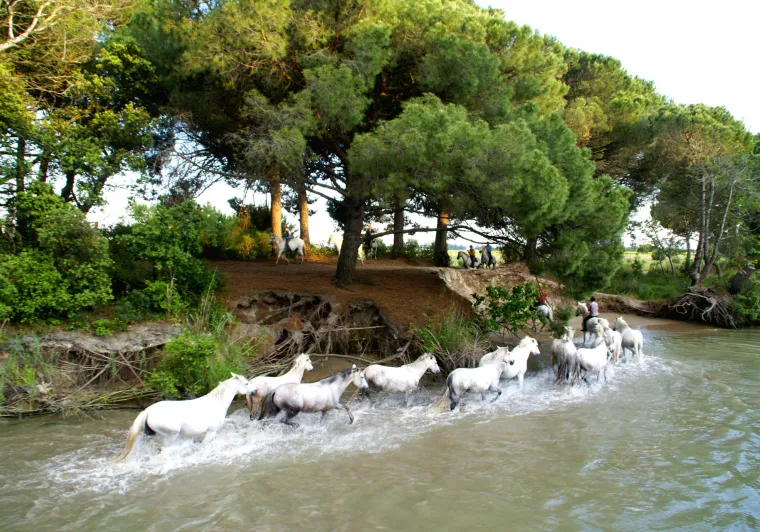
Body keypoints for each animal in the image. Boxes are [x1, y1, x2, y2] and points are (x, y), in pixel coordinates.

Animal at [114, 373, 252, 462]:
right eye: (246, 383)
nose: (254, 391)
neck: (217, 402)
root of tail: (148, 411)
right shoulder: (211, 432)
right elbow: (204, 446)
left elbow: (233, 422)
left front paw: (242, 433)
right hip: (172, 435)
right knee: (164, 449)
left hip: (150, 435)